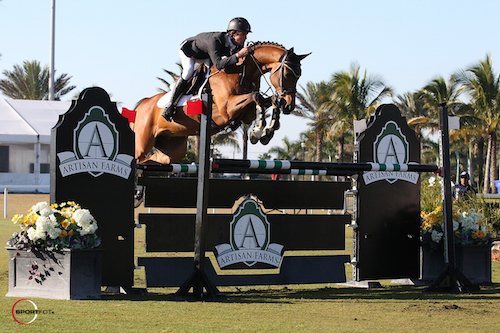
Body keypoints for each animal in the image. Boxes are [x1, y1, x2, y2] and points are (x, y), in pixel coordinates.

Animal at [133, 42, 308, 165]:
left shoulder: (246, 114)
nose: (289, 106)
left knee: (149, 162)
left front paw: (267, 132)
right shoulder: (225, 111)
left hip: (173, 149)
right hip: (142, 143)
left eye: (299, 76)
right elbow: (256, 96)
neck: (240, 71)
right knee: (137, 159)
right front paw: (258, 131)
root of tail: (142, 105)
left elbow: (267, 100)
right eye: (287, 74)